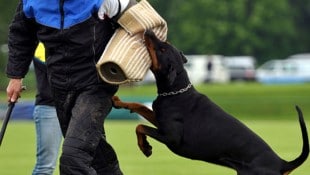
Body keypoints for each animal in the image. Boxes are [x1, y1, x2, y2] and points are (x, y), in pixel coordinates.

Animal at [112, 30, 308, 175]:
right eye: (164, 44)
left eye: (162, 50)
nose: (149, 31)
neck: (176, 91)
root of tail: (281, 163)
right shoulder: (159, 120)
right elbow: (140, 107)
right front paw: (118, 101)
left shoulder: (171, 137)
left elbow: (140, 127)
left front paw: (145, 147)